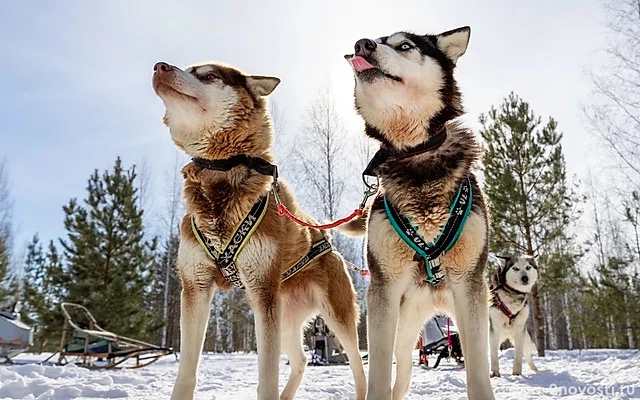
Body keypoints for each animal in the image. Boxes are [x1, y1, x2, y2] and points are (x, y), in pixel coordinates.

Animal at [152, 60, 368, 400]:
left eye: (209, 75)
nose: (160, 66)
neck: (223, 170)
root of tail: (326, 237)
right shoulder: (196, 287)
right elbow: (186, 372)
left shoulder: (262, 290)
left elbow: (267, 376)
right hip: (284, 320)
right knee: (302, 359)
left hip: (334, 316)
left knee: (358, 364)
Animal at [344, 26, 496, 398]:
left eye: (404, 45)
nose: (361, 45)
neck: (416, 157)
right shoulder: (384, 286)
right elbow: (379, 374)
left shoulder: (470, 284)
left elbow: (478, 374)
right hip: (405, 330)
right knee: (402, 372)